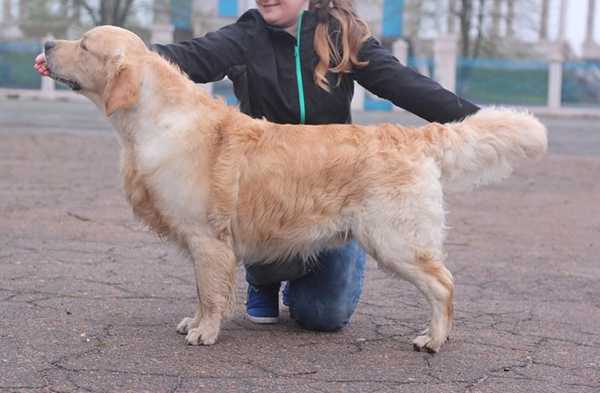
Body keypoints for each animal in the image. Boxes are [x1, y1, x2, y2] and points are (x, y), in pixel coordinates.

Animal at [44, 25, 548, 352]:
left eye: (85, 44)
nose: (47, 44)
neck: (154, 120)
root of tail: (414, 136)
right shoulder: (204, 243)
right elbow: (201, 291)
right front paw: (194, 322)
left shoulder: (208, 238)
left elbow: (210, 292)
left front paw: (205, 332)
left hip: (396, 240)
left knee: (444, 284)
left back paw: (434, 338)